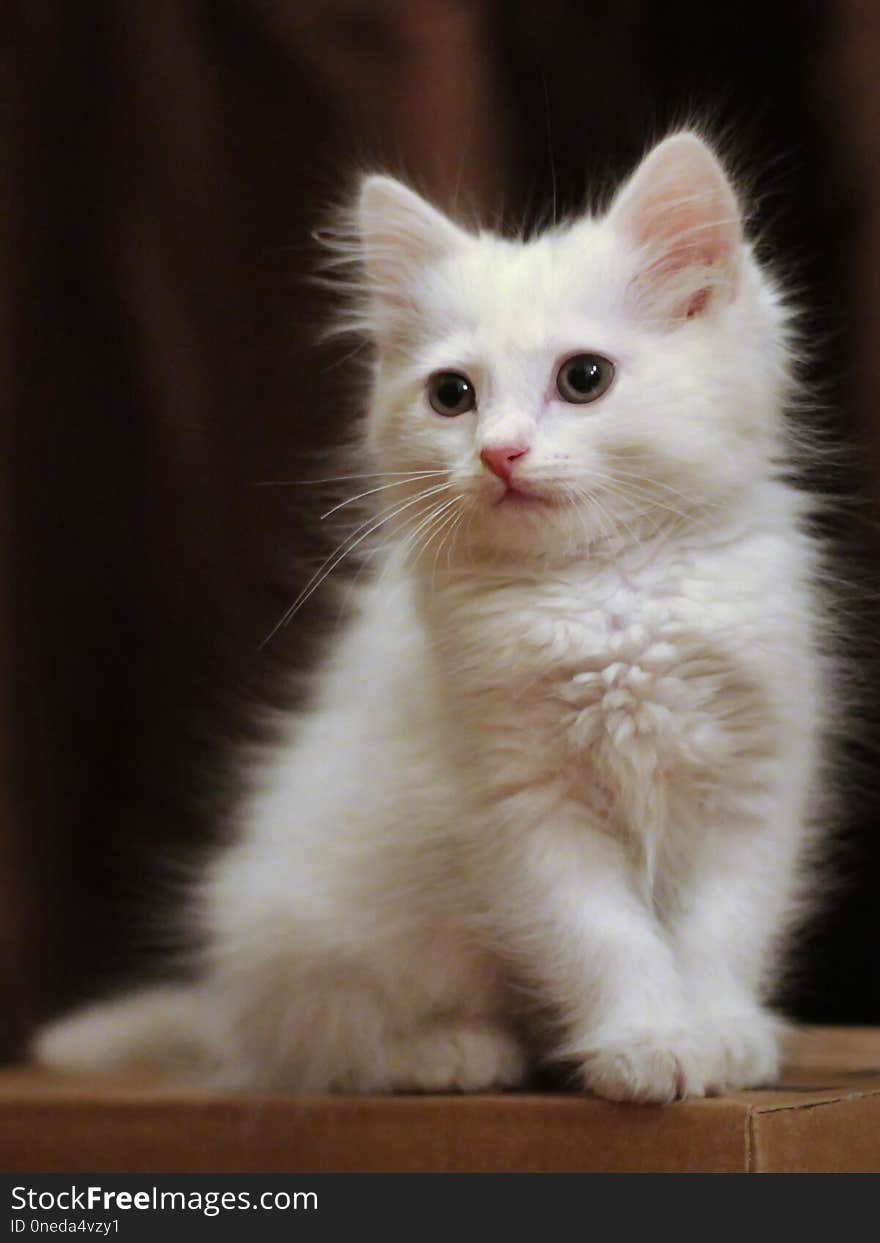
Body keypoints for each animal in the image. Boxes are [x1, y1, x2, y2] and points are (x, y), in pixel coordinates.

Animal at [36, 136, 830, 1103]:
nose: (500, 452)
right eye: (452, 395)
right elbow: (605, 939)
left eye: (585, 378)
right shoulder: (525, 809)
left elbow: (722, 932)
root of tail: (224, 1004)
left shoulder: (751, 784)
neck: (605, 593)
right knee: (320, 1040)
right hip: (324, 920)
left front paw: (721, 1035)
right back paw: (453, 1049)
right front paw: (646, 1042)